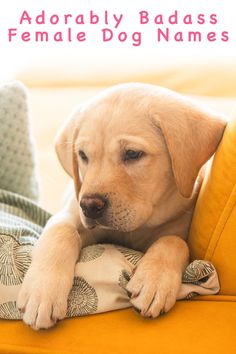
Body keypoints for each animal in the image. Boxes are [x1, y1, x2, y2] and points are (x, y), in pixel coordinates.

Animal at [17, 83, 226, 330]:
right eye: (83, 155)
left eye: (132, 154)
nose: (89, 206)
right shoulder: (71, 211)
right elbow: (62, 230)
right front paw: (42, 290)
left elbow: (174, 241)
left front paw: (154, 280)